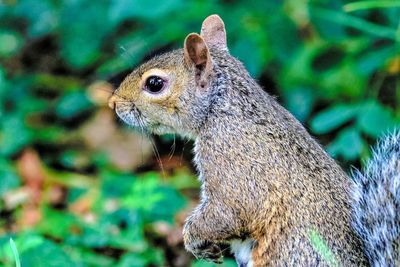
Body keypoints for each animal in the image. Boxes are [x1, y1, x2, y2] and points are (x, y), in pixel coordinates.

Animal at [108, 15, 398, 267]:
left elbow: (229, 213)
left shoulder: (233, 164)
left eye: (155, 84)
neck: (223, 108)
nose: (113, 102)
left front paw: (192, 239)